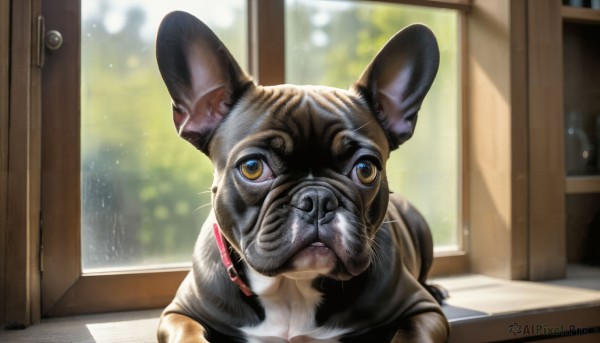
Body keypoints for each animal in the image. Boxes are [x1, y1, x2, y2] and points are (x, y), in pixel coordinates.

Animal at [155, 10, 450, 343]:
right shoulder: (179, 313)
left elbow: (410, 334)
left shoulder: (422, 310)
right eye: (252, 167)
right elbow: (187, 334)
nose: (318, 200)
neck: (291, 287)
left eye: (366, 170)